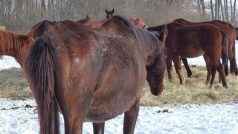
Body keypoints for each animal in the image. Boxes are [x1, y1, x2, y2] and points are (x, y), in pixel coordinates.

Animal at [23, 15, 165, 134]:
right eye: (165, 55)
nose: (160, 88)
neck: (139, 45)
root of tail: (48, 40)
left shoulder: (99, 117)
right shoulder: (133, 107)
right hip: (74, 119)